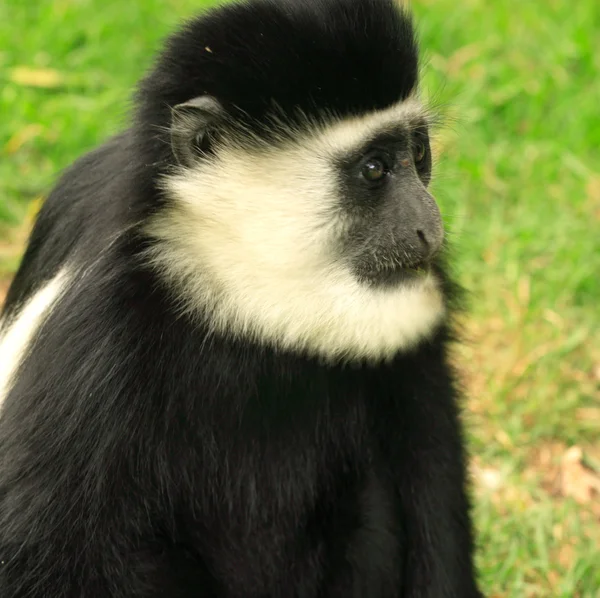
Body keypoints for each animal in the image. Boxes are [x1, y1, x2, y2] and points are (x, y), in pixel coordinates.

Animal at [0, 0, 480, 596]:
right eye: (374, 169)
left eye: (418, 153)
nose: (427, 226)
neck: (243, 299)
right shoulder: (95, 338)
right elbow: (38, 548)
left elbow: (431, 476)